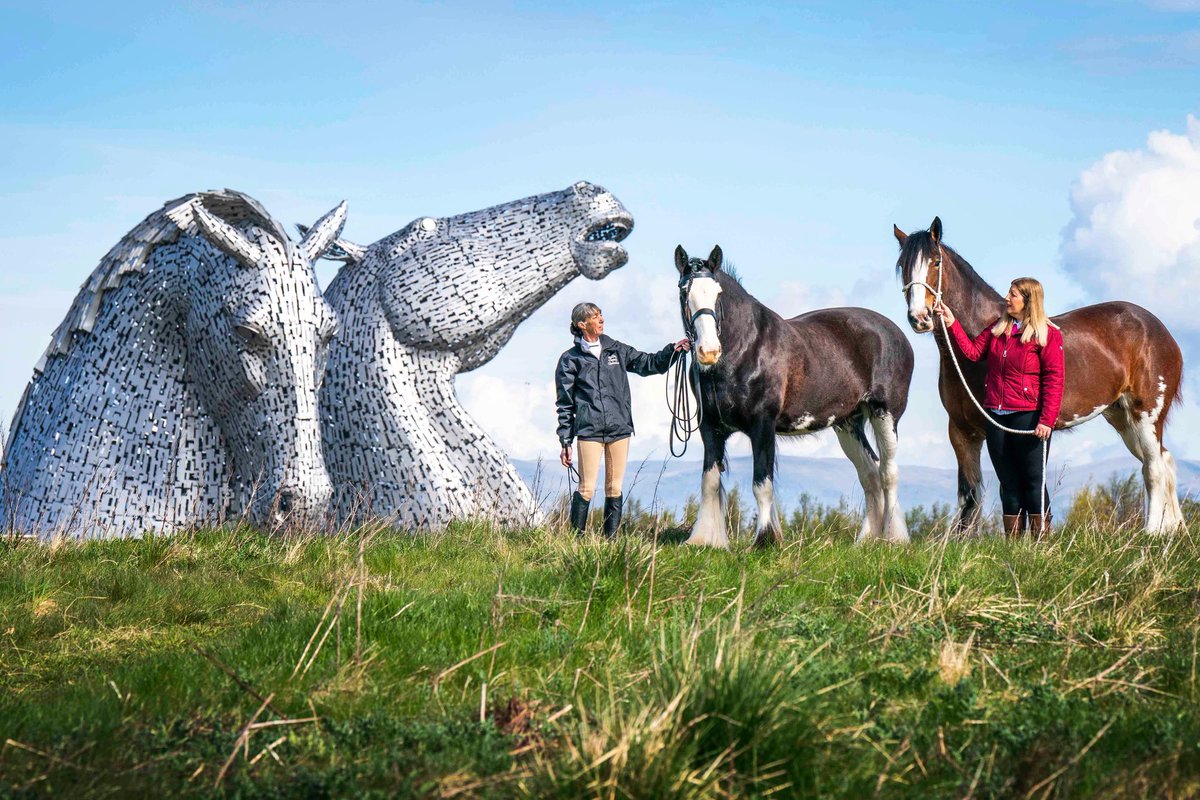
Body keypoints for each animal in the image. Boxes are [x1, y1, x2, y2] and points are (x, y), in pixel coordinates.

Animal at [897, 215, 1185, 534]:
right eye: (902, 266)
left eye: (935, 262)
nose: (919, 318)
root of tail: (1160, 331)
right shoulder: (961, 431)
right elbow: (969, 495)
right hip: (1121, 417)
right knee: (1163, 461)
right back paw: (1171, 531)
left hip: (1146, 414)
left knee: (1154, 468)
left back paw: (1151, 532)